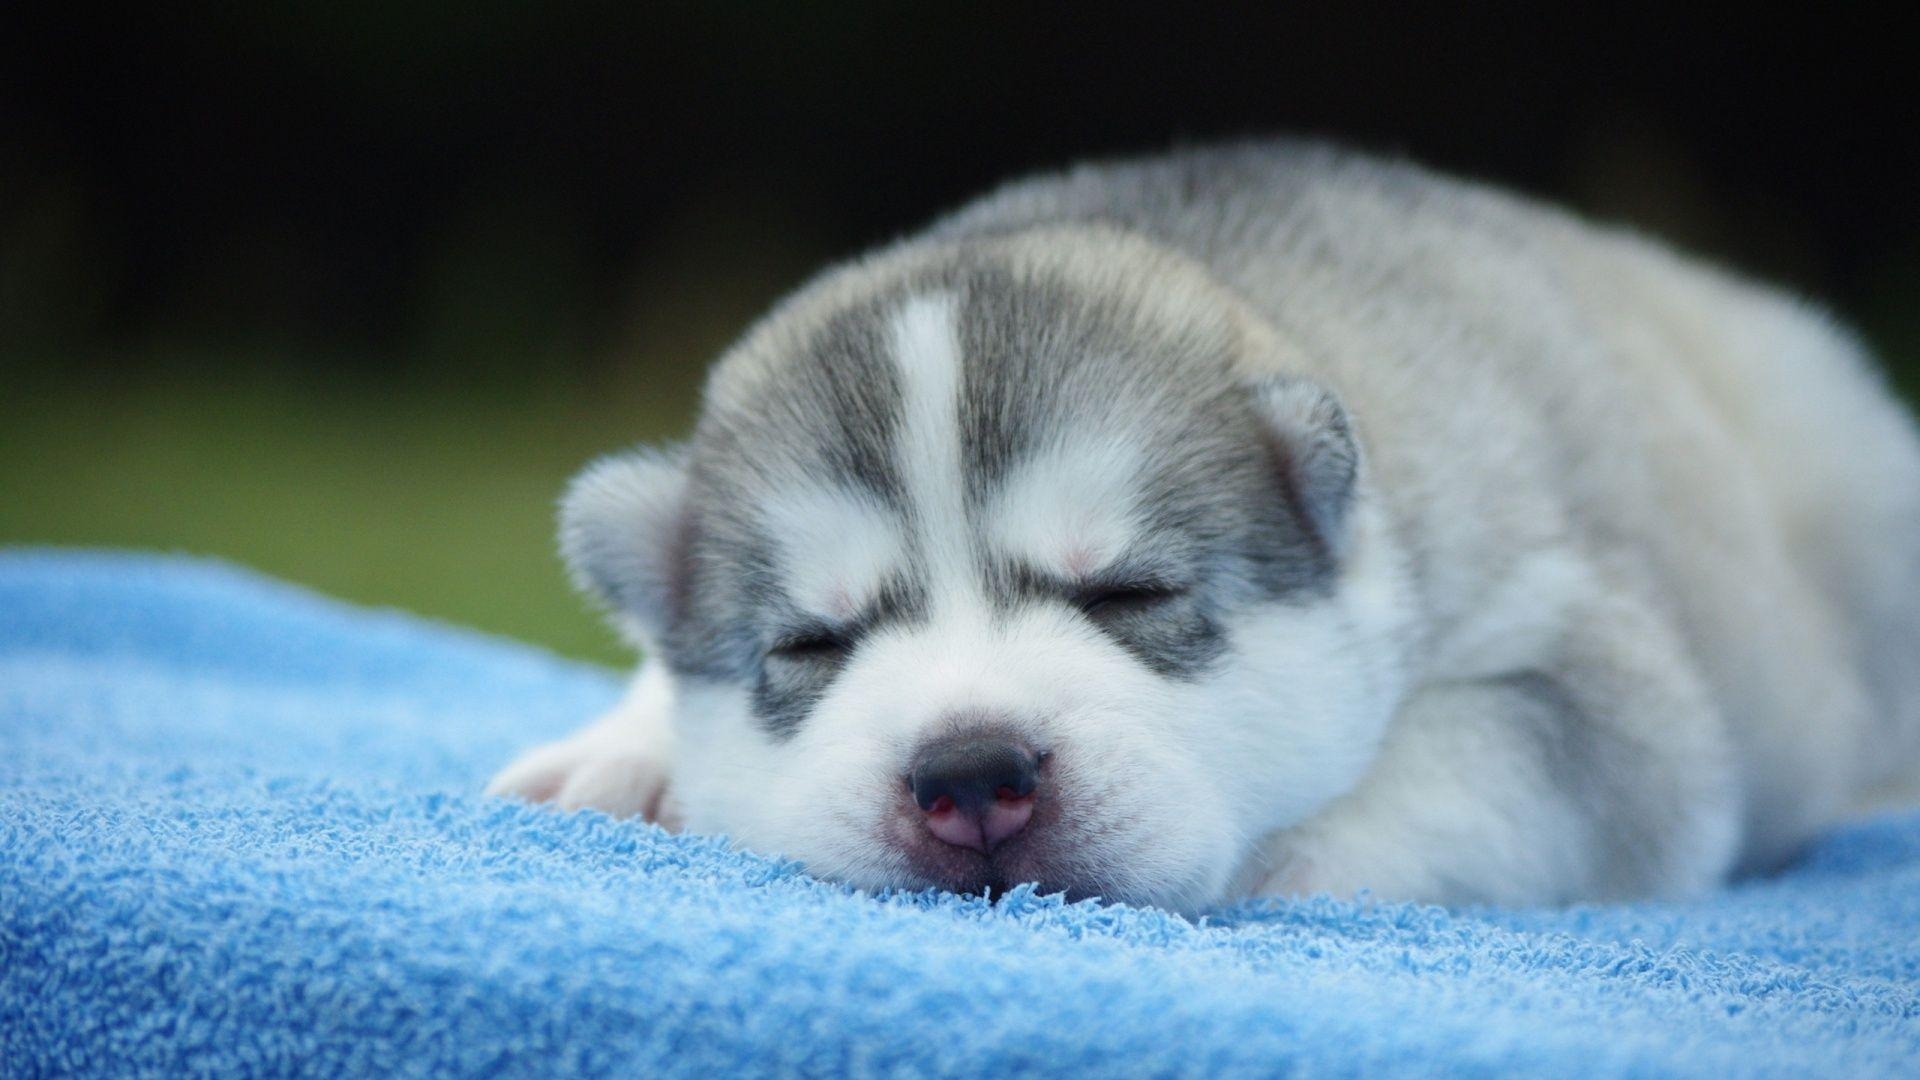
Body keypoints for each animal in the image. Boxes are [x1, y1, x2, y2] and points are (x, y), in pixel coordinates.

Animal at [487, 138, 1920, 903]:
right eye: (810, 646)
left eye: (1129, 594)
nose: (970, 776)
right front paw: (622, 749)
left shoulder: (1595, 685)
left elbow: (1451, 774)